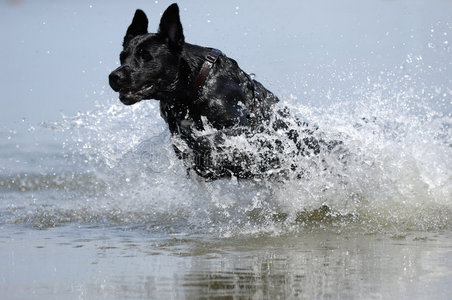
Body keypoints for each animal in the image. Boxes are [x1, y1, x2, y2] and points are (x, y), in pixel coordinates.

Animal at [110, 3, 328, 179]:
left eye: (145, 56)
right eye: (122, 56)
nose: (114, 76)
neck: (191, 88)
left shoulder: (248, 127)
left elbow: (207, 140)